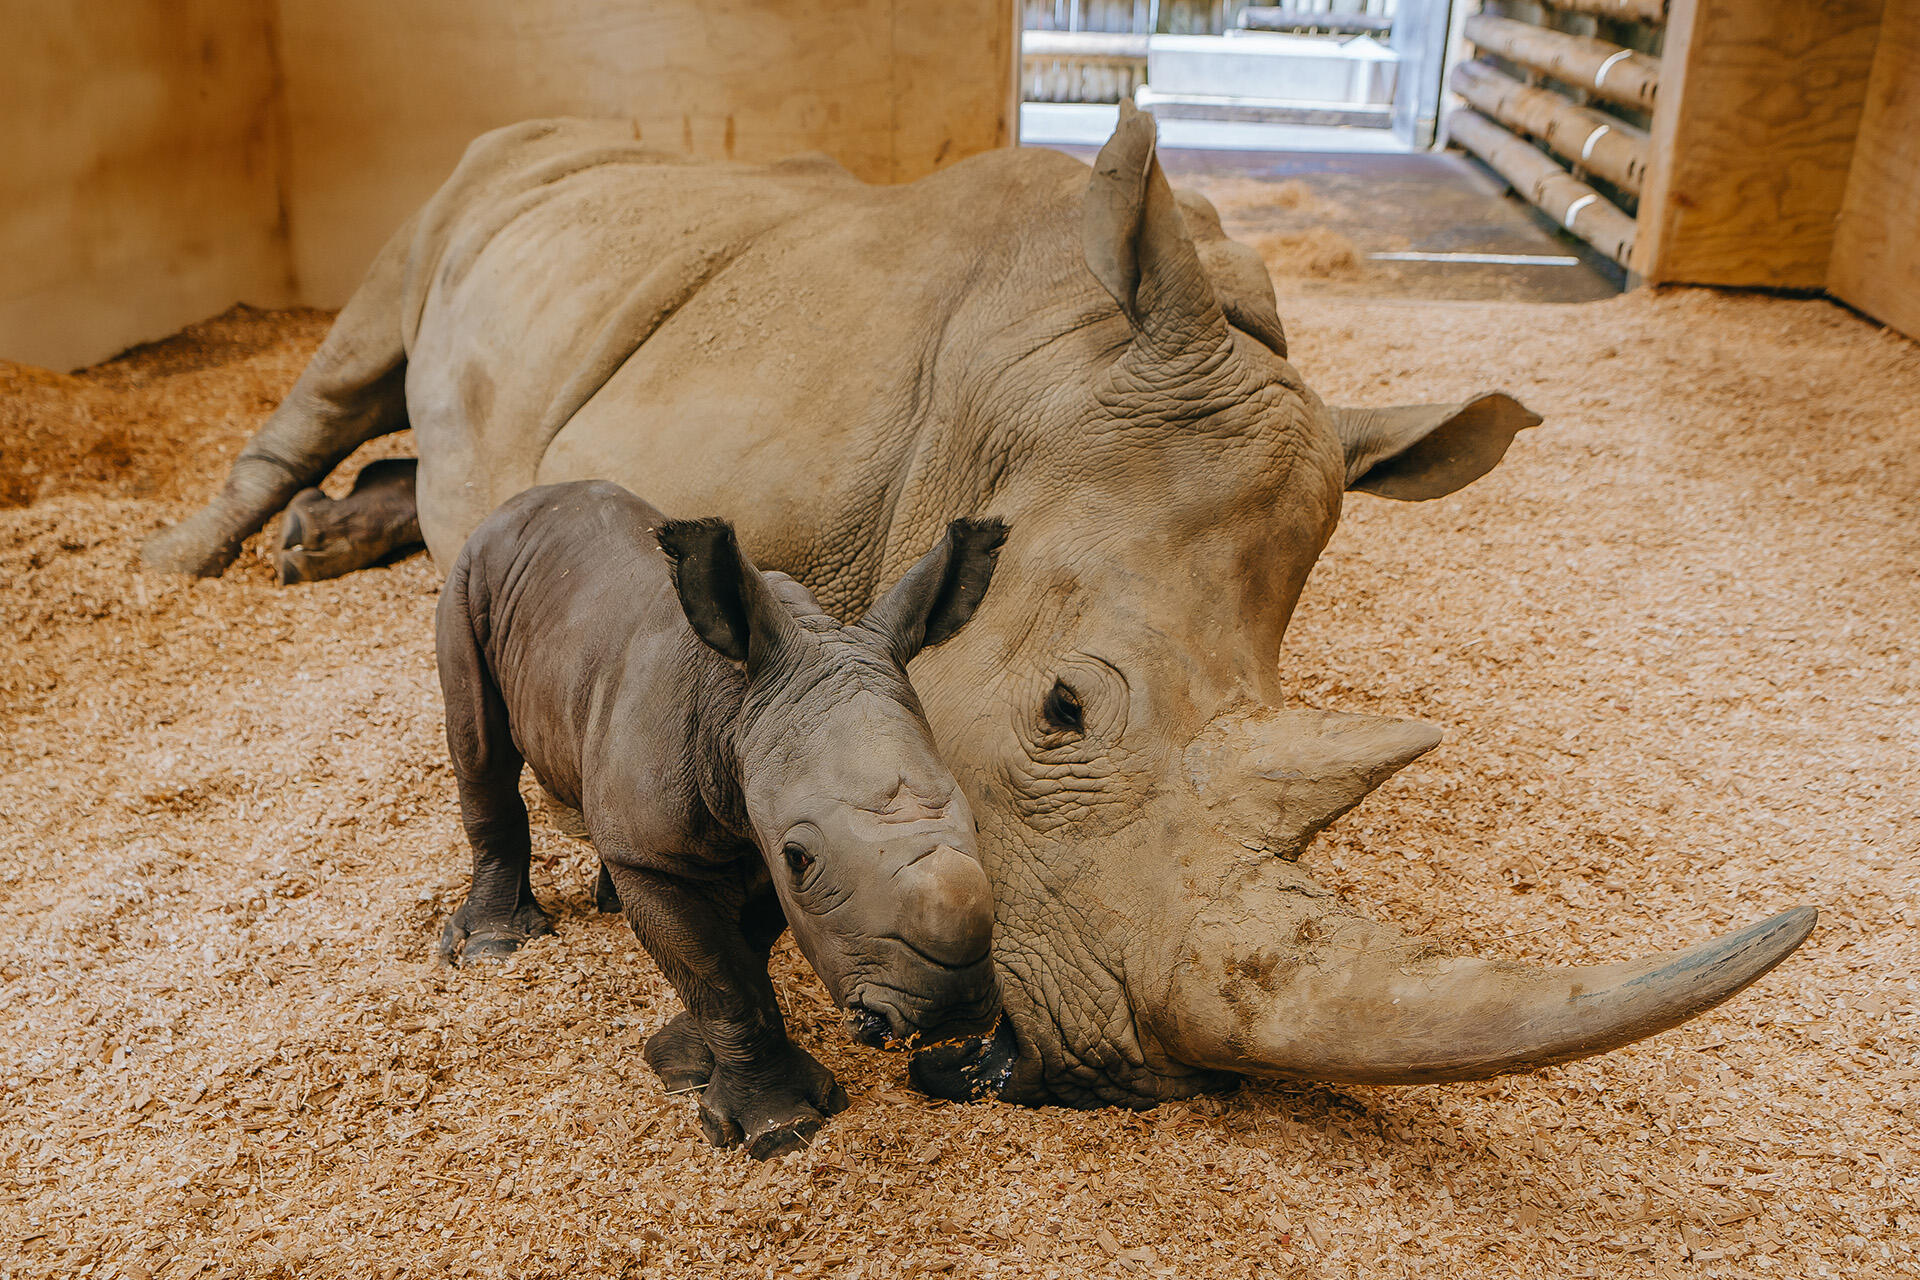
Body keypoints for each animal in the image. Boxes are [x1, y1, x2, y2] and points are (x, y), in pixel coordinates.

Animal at [437, 483, 1006, 1159]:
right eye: (802, 857)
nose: (950, 1009)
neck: (738, 709)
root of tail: (521, 501)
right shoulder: (668, 861)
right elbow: (721, 980)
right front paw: (775, 1127)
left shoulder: (759, 839)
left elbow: (740, 960)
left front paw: (693, 1063)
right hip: (468, 573)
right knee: (481, 750)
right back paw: (492, 948)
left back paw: (602, 899)